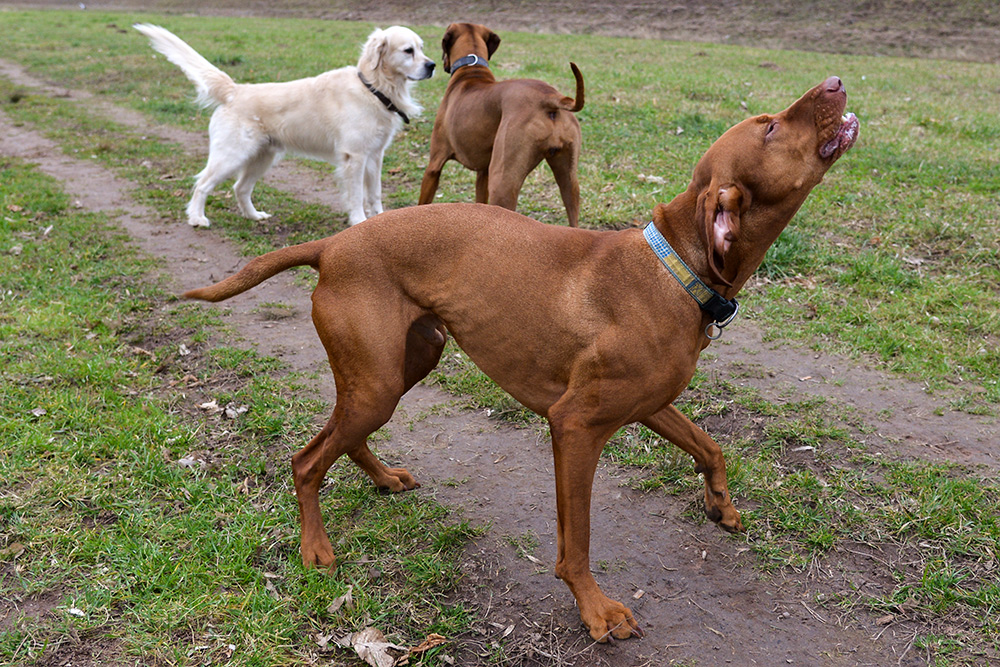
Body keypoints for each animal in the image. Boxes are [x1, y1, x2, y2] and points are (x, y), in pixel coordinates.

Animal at [188, 77, 860, 640]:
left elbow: (709, 445)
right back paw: (316, 551)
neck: (676, 268)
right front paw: (595, 610)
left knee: (341, 438)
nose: (834, 83)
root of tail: (332, 244)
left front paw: (721, 505)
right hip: (378, 381)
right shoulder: (576, 425)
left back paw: (381, 479)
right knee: (306, 461)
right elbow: (576, 542)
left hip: (407, 362)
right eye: (770, 127)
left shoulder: (649, 404)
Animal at [416, 22, 584, 227]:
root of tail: (551, 97)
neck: (472, 68)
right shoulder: (483, 173)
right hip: (569, 180)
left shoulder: (434, 165)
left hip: (503, 182)